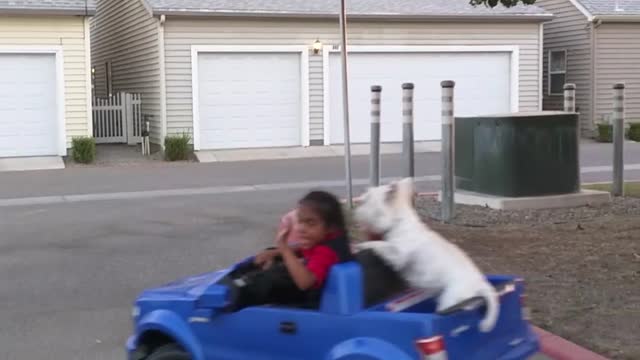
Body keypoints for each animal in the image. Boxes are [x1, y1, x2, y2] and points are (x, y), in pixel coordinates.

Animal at [356, 177, 500, 332]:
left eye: (367, 199)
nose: (356, 207)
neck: (399, 221)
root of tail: (481, 284)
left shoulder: (397, 255)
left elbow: (380, 244)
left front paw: (362, 245)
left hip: (450, 300)